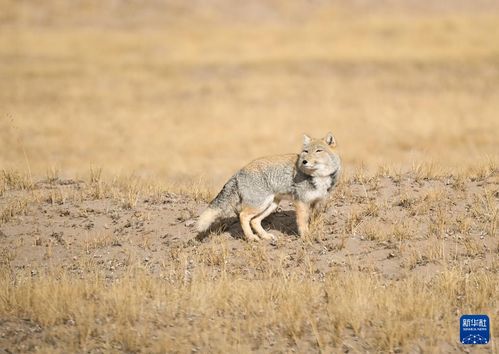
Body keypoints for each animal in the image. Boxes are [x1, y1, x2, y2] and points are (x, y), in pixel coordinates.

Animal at [197, 131, 342, 242]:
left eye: (318, 151)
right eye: (305, 151)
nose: (304, 161)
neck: (319, 178)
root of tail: (238, 172)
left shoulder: (318, 202)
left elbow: (313, 220)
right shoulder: (301, 202)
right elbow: (302, 222)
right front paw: (306, 236)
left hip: (271, 205)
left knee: (254, 221)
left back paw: (265, 236)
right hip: (260, 204)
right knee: (243, 216)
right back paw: (251, 237)